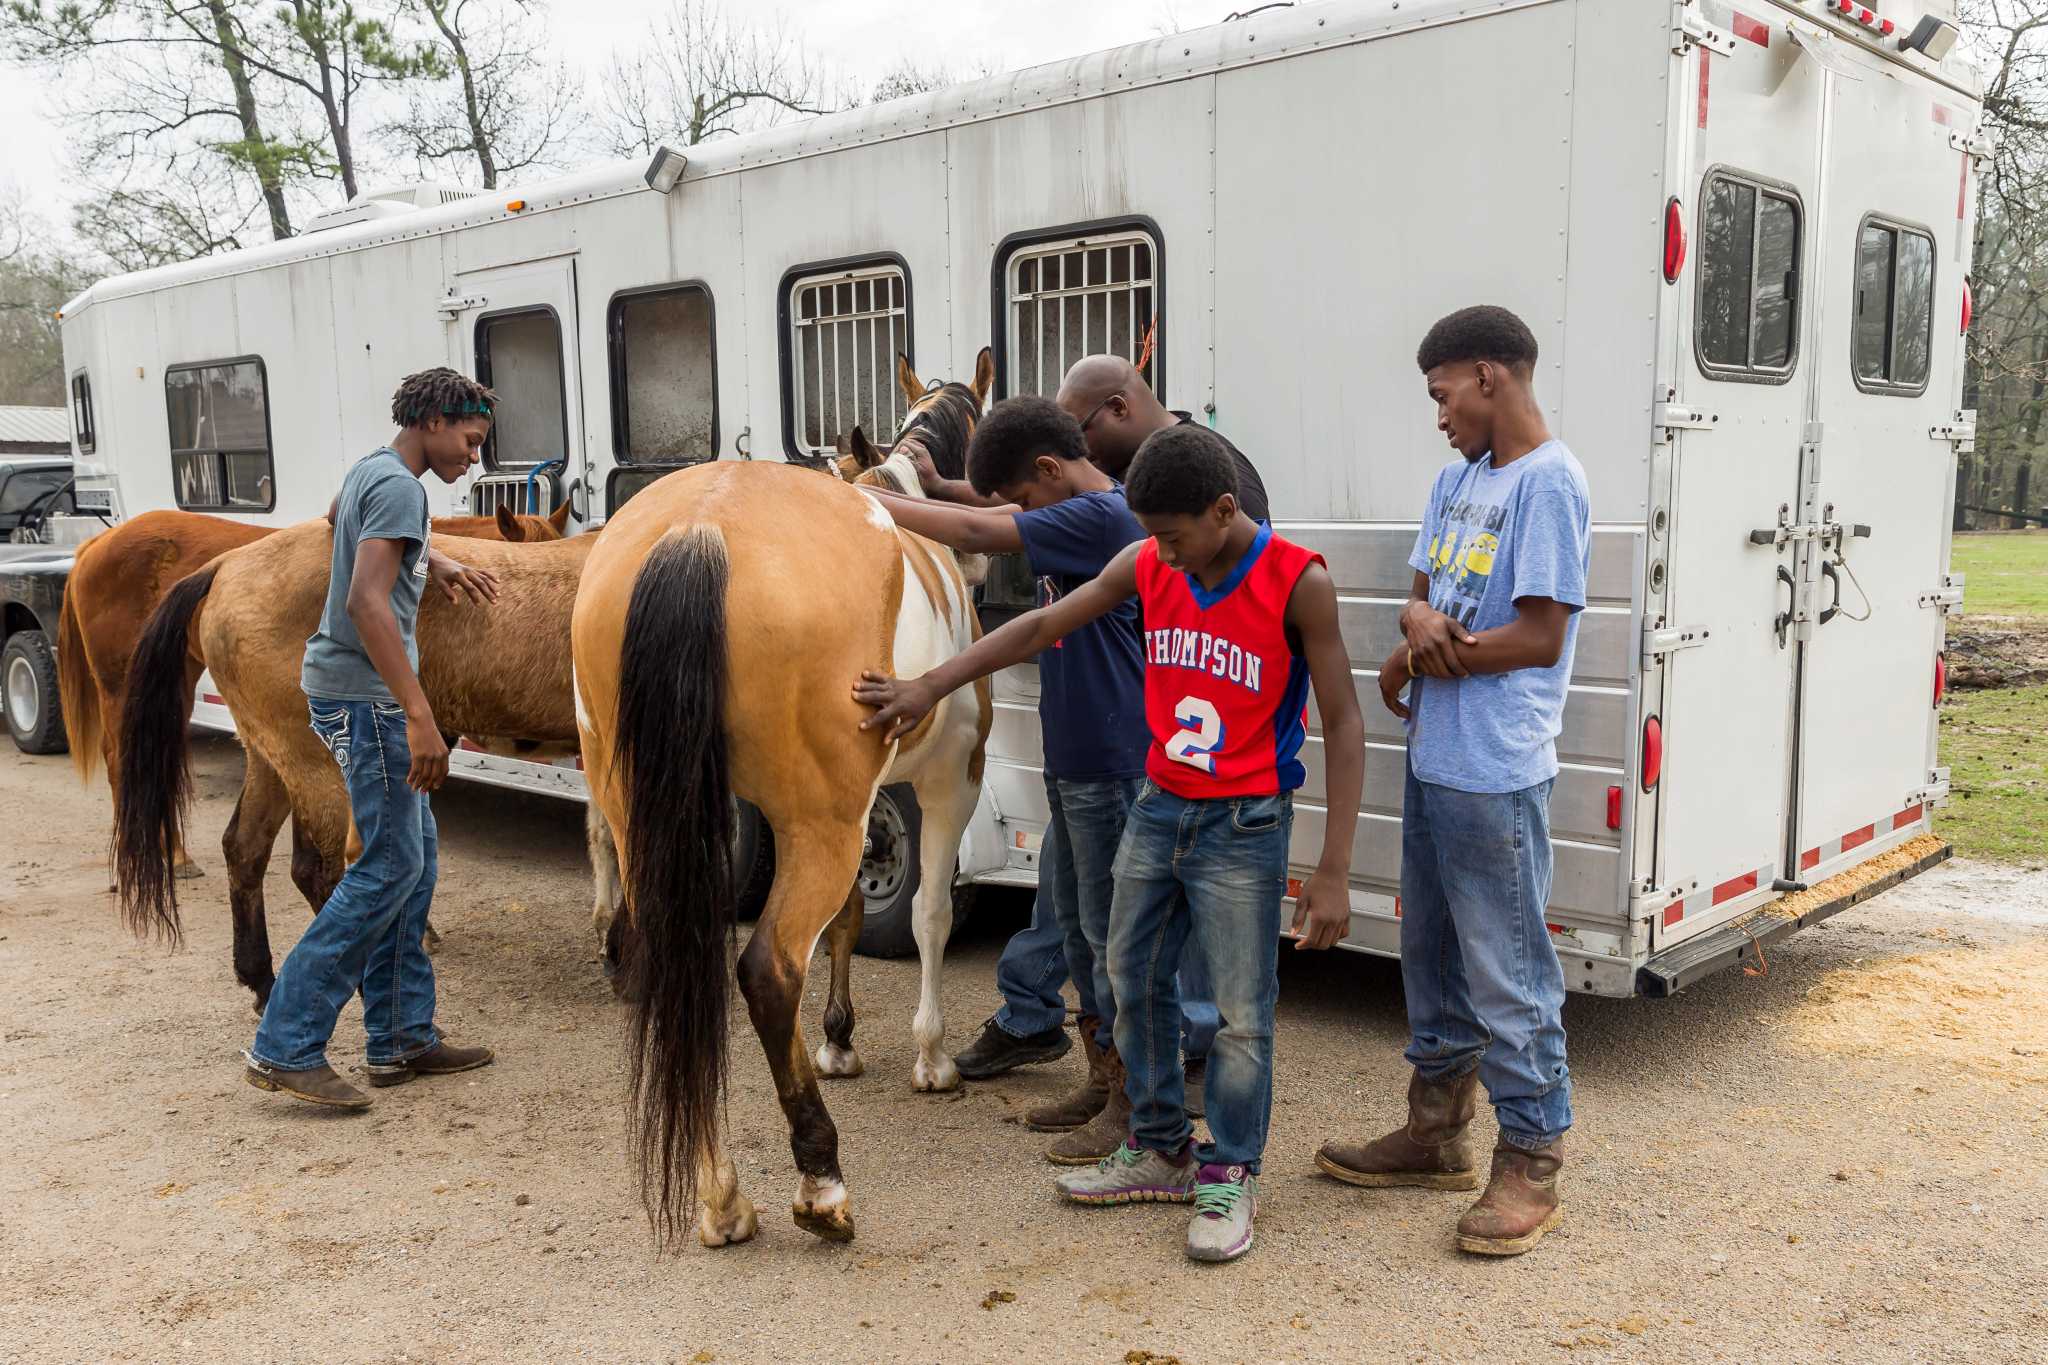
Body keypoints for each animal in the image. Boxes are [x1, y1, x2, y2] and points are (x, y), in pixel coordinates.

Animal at [115, 517, 585, 1010]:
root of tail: (228, 564)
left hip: (271, 757)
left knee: (245, 849)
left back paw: (262, 979)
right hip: (317, 763)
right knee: (321, 873)